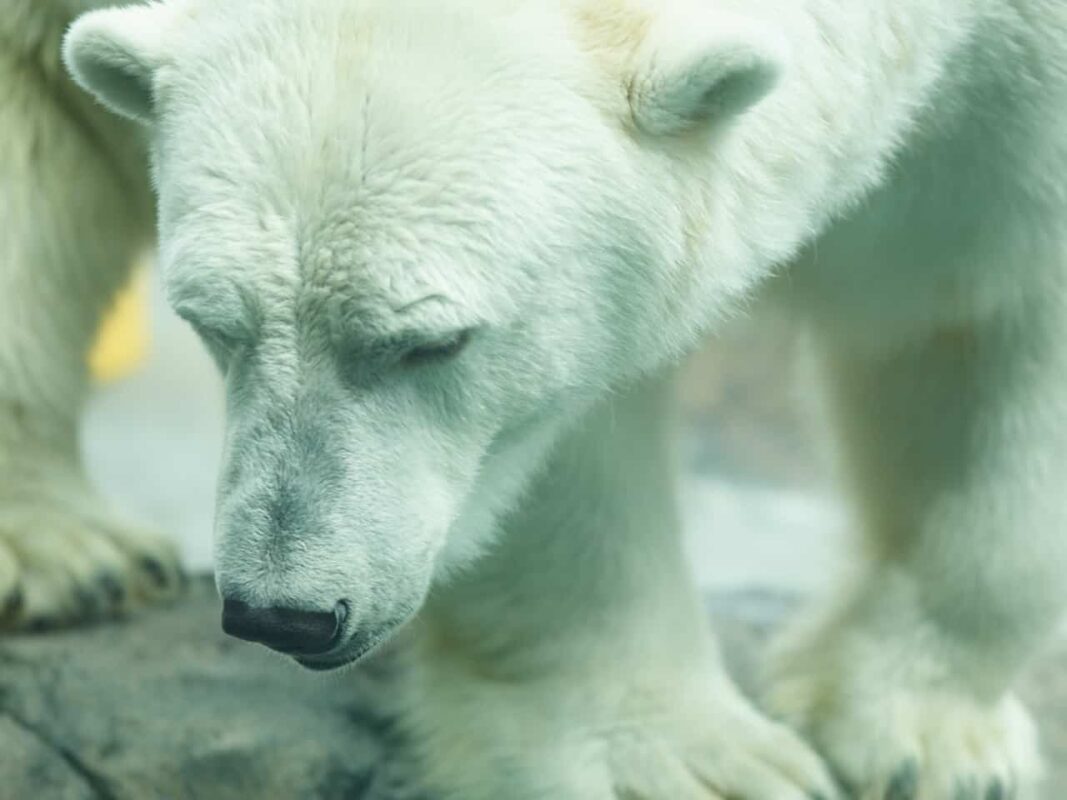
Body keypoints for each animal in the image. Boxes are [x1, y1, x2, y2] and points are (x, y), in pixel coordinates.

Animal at [2, 0, 1067, 797]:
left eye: (431, 341)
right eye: (211, 322)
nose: (284, 613)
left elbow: (987, 293)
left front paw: (923, 737)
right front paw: (683, 763)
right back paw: (67, 555)